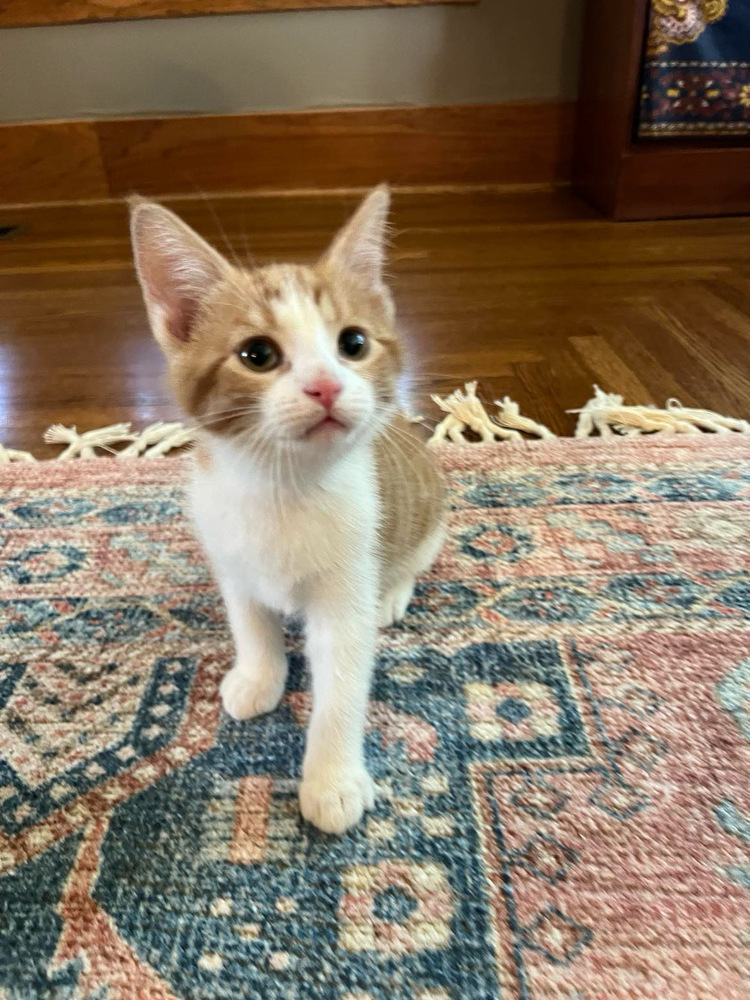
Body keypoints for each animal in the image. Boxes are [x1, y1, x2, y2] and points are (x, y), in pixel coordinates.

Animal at [129, 184, 446, 832]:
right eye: (257, 354)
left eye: (353, 343)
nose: (326, 385)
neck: (283, 489)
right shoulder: (228, 554)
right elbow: (251, 622)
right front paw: (259, 675)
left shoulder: (346, 588)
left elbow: (343, 682)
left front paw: (332, 781)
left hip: (427, 517)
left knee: (415, 557)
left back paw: (393, 593)